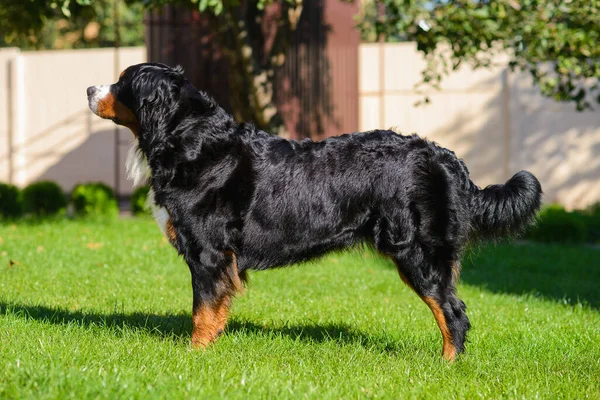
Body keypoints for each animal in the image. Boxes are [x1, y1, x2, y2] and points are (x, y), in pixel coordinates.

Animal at [86, 61, 540, 360]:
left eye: (123, 83)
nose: (90, 89)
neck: (193, 142)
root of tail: (444, 156)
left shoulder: (208, 252)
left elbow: (202, 309)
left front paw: (194, 354)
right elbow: (215, 309)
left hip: (419, 253)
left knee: (453, 312)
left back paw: (448, 364)